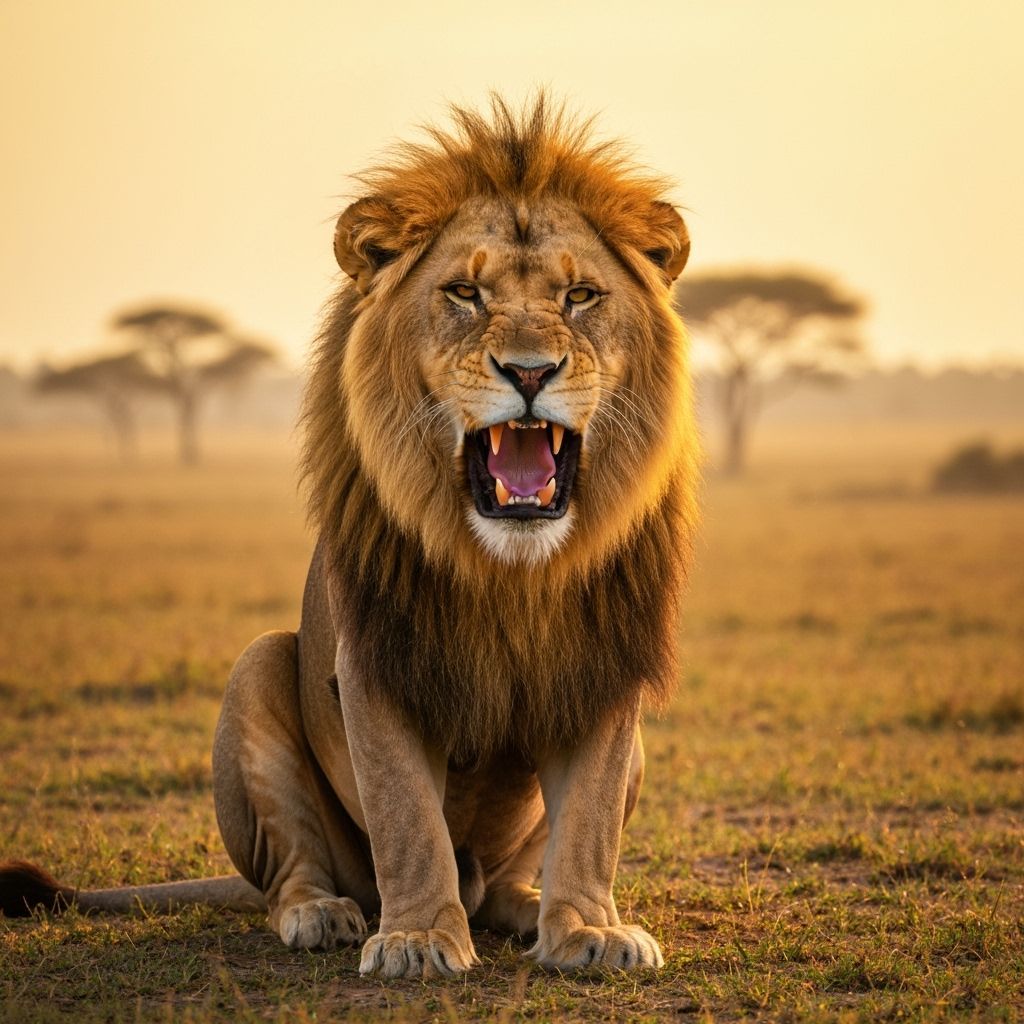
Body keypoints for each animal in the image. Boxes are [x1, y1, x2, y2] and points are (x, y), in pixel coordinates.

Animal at [0, 96, 700, 977]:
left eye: (580, 295)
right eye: (464, 293)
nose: (531, 371)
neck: (509, 568)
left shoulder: (607, 665)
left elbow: (591, 819)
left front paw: (588, 929)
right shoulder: (375, 661)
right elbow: (407, 818)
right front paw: (417, 939)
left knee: (502, 882)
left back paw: (523, 907)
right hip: (259, 669)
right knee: (289, 874)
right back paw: (324, 914)